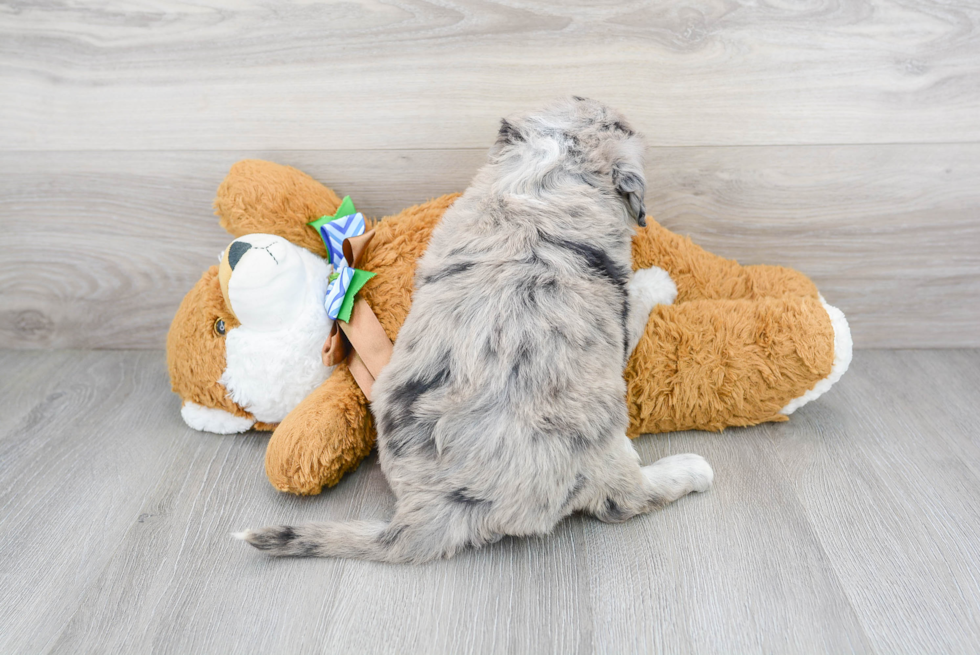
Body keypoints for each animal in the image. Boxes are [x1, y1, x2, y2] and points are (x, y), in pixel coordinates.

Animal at [237, 97, 712, 564]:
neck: (538, 183)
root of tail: (429, 509)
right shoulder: (616, 317)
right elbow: (640, 298)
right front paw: (659, 281)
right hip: (600, 435)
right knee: (625, 499)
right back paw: (690, 469)